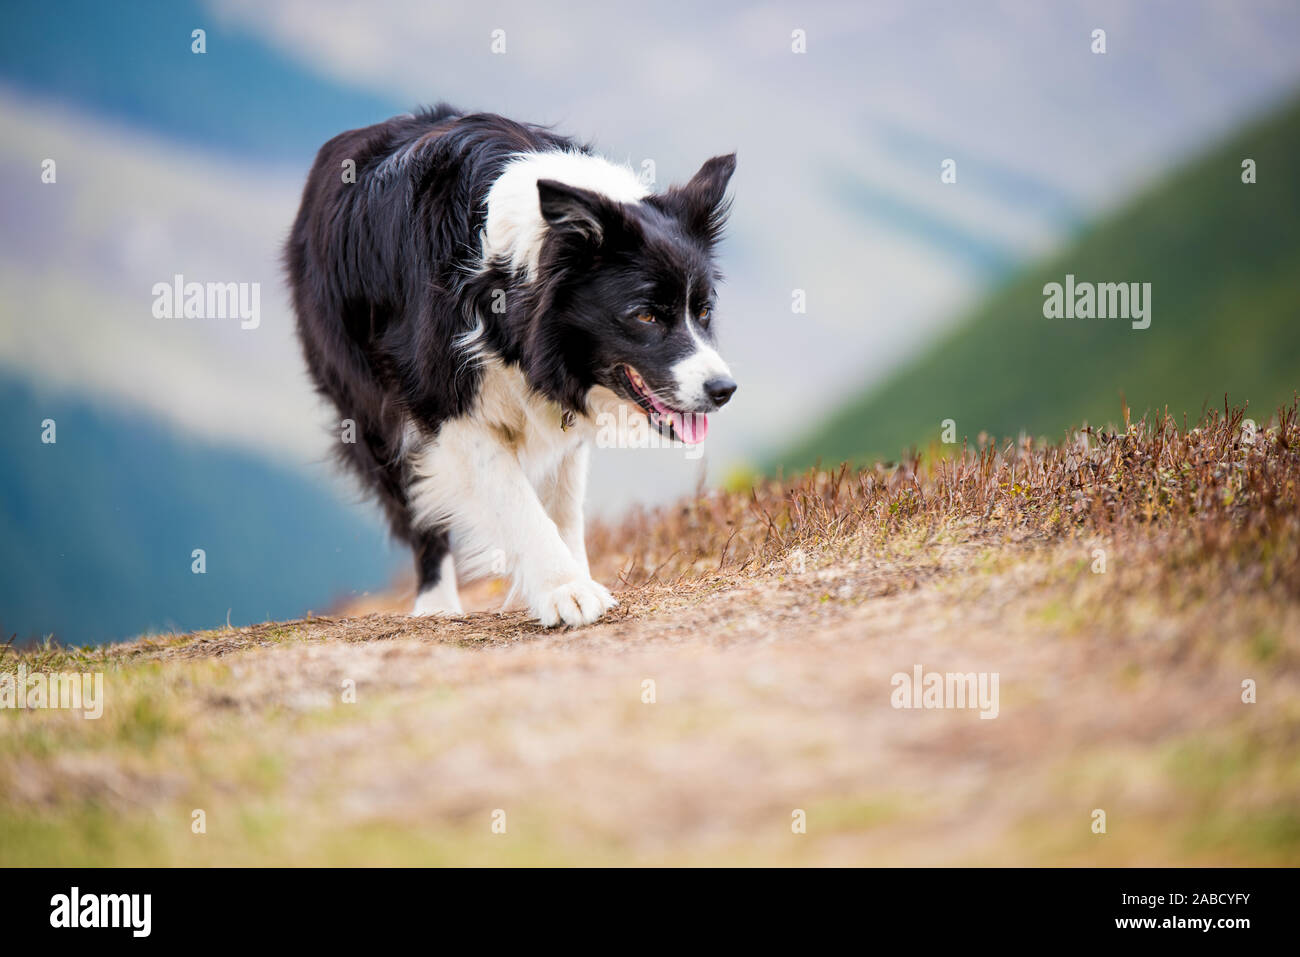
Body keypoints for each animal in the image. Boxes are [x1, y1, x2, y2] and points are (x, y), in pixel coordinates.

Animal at [288, 104, 738, 629]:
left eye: (703, 311)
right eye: (646, 315)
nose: (724, 390)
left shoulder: (566, 403)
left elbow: (564, 505)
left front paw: (571, 578)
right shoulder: (444, 404)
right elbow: (513, 499)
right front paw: (566, 591)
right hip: (367, 403)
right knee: (415, 505)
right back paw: (436, 603)